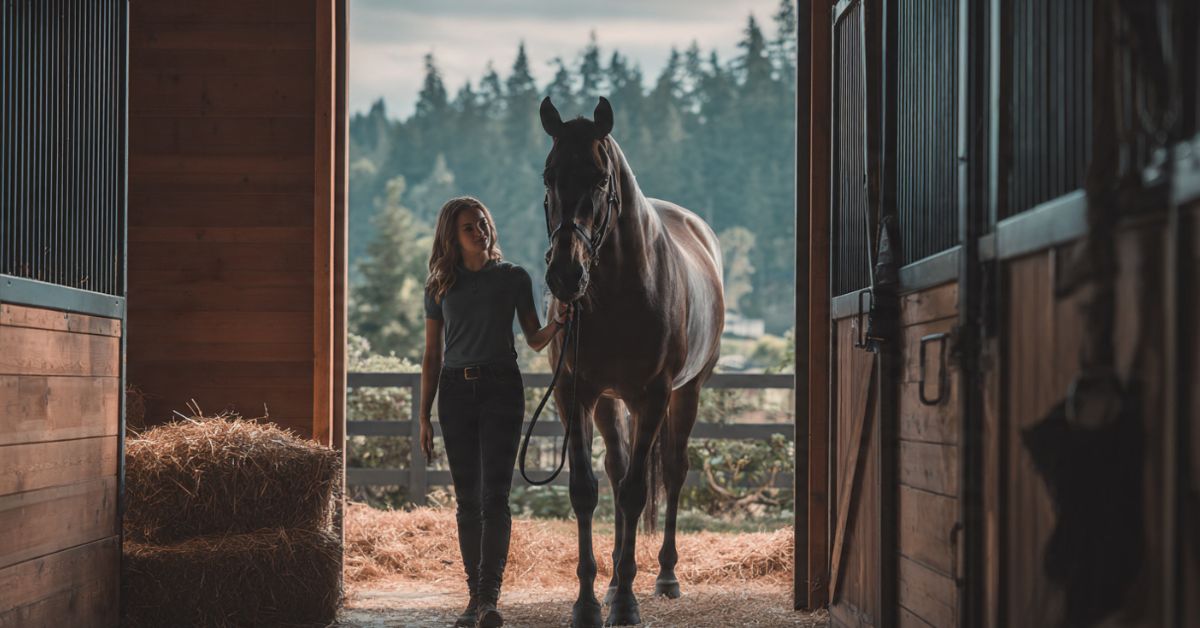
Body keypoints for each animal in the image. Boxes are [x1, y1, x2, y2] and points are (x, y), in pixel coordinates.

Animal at [538, 96, 725, 628]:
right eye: (548, 175)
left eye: (602, 179)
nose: (565, 274)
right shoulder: (574, 396)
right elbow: (588, 490)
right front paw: (588, 600)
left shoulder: (653, 397)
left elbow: (638, 490)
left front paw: (625, 602)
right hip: (608, 401)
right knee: (619, 470)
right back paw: (611, 584)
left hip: (686, 393)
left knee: (674, 471)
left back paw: (664, 576)